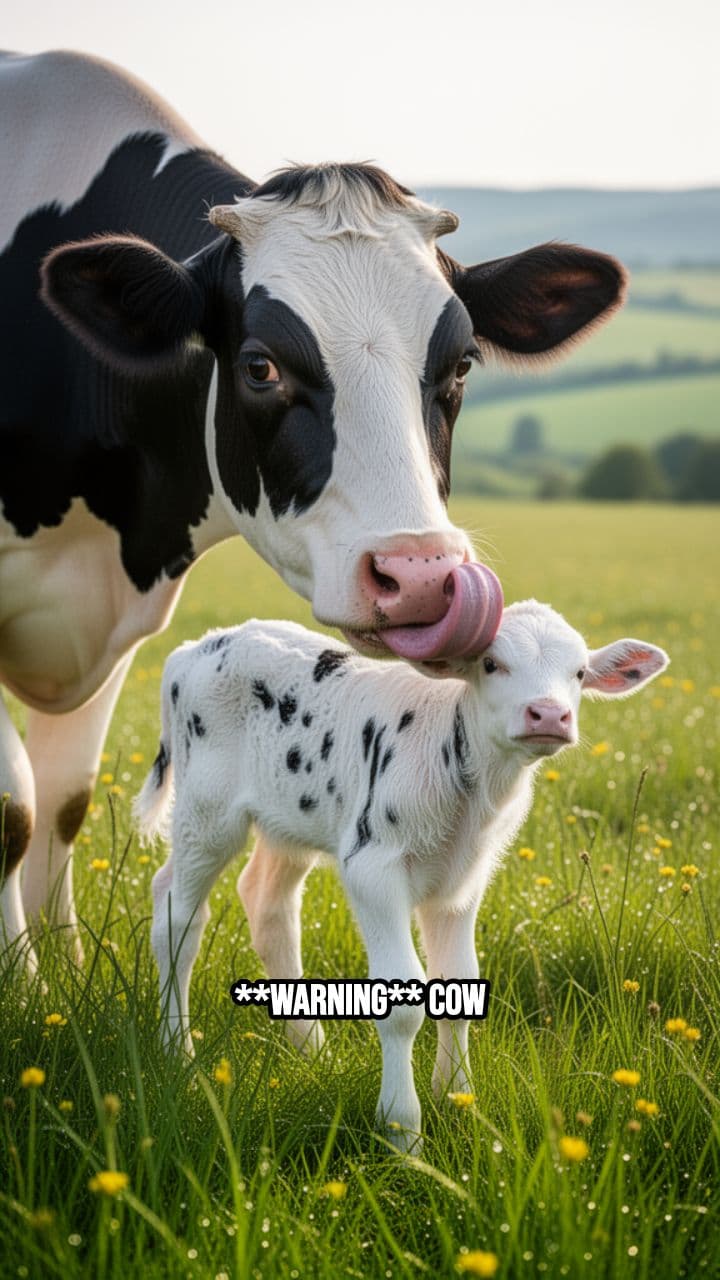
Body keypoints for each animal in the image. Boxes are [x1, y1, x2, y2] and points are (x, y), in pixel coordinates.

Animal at [0, 49, 626, 971]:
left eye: (463, 363)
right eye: (260, 366)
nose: (422, 577)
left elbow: (63, 800)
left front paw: (53, 980)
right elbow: (14, 808)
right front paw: (27, 986)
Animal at [134, 591, 668, 1148]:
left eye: (579, 672)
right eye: (491, 663)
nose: (548, 714)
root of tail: (196, 648)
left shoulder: (463, 881)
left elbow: (458, 978)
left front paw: (458, 1100)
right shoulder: (372, 866)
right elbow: (402, 999)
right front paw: (402, 1130)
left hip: (291, 818)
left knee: (267, 906)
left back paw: (312, 1052)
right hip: (206, 812)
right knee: (177, 917)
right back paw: (178, 1053)